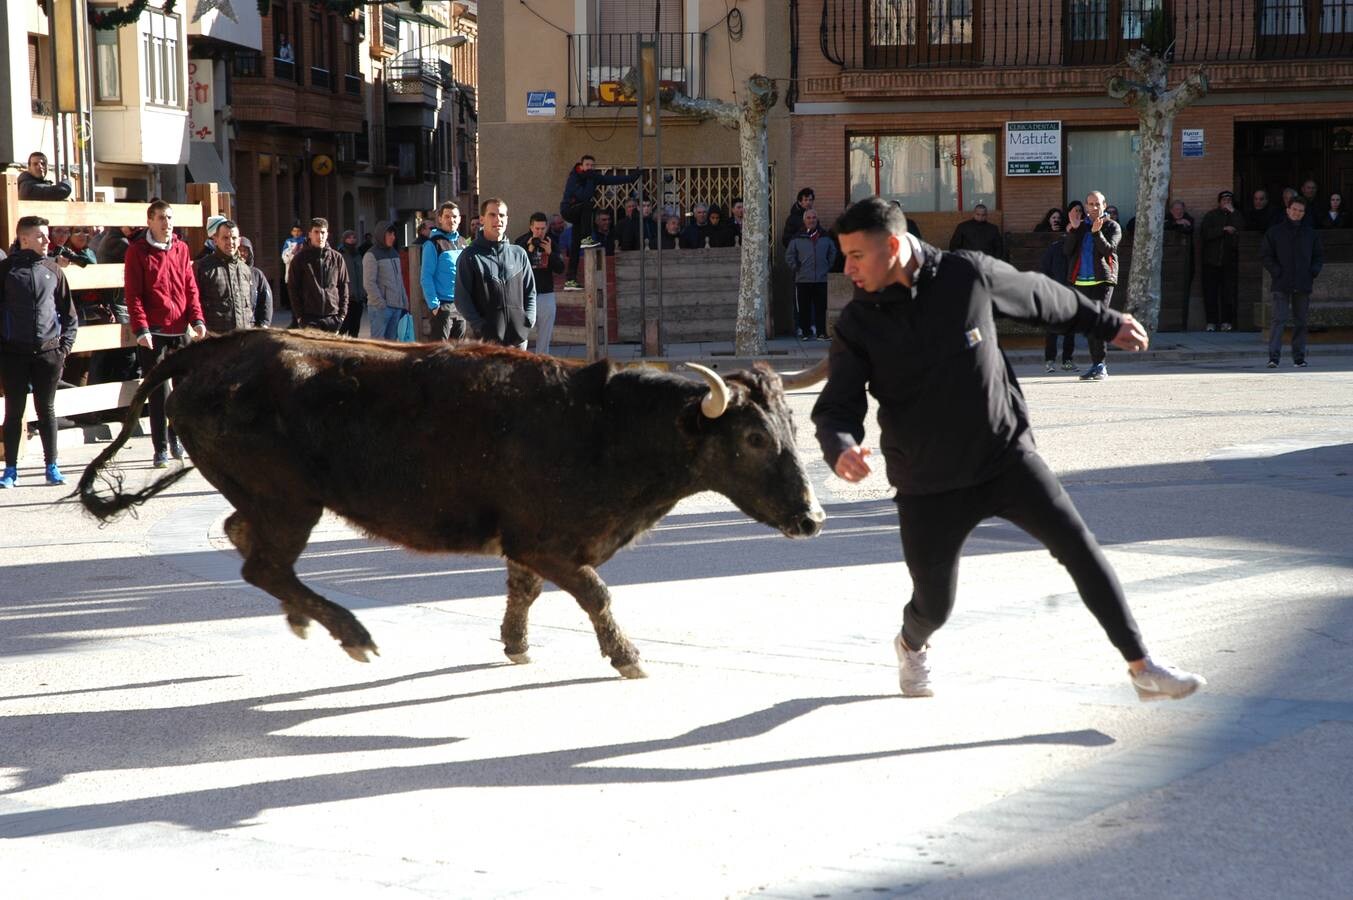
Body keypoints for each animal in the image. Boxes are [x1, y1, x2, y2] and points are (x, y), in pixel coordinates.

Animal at [84, 328, 828, 673]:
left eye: (794, 429)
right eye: (755, 437)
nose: (813, 518)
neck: (603, 424)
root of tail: (214, 347)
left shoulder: (529, 545)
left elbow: (525, 591)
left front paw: (516, 646)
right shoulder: (549, 543)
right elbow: (594, 593)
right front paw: (627, 657)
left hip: (271, 503)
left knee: (249, 544)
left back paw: (306, 619)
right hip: (289, 502)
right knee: (261, 562)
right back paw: (350, 633)